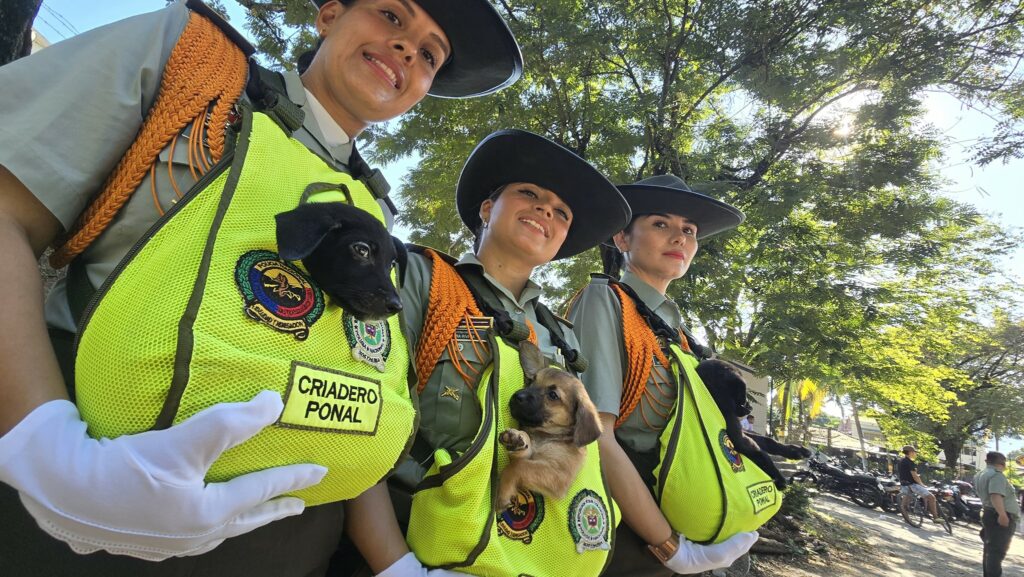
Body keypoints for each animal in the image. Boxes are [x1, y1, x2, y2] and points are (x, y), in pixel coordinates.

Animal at [493, 342, 598, 510]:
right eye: (531, 381)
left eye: (553, 395)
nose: (516, 396)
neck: (545, 436)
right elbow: (520, 457)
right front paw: (516, 438)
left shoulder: (558, 476)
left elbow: (518, 466)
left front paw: (502, 492)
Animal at [700, 358, 811, 489]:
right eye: (742, 392)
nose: (749, 404)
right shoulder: (729, 415)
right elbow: (749, 448)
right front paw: (778, 477)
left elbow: (764, 441)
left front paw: (792, 450)